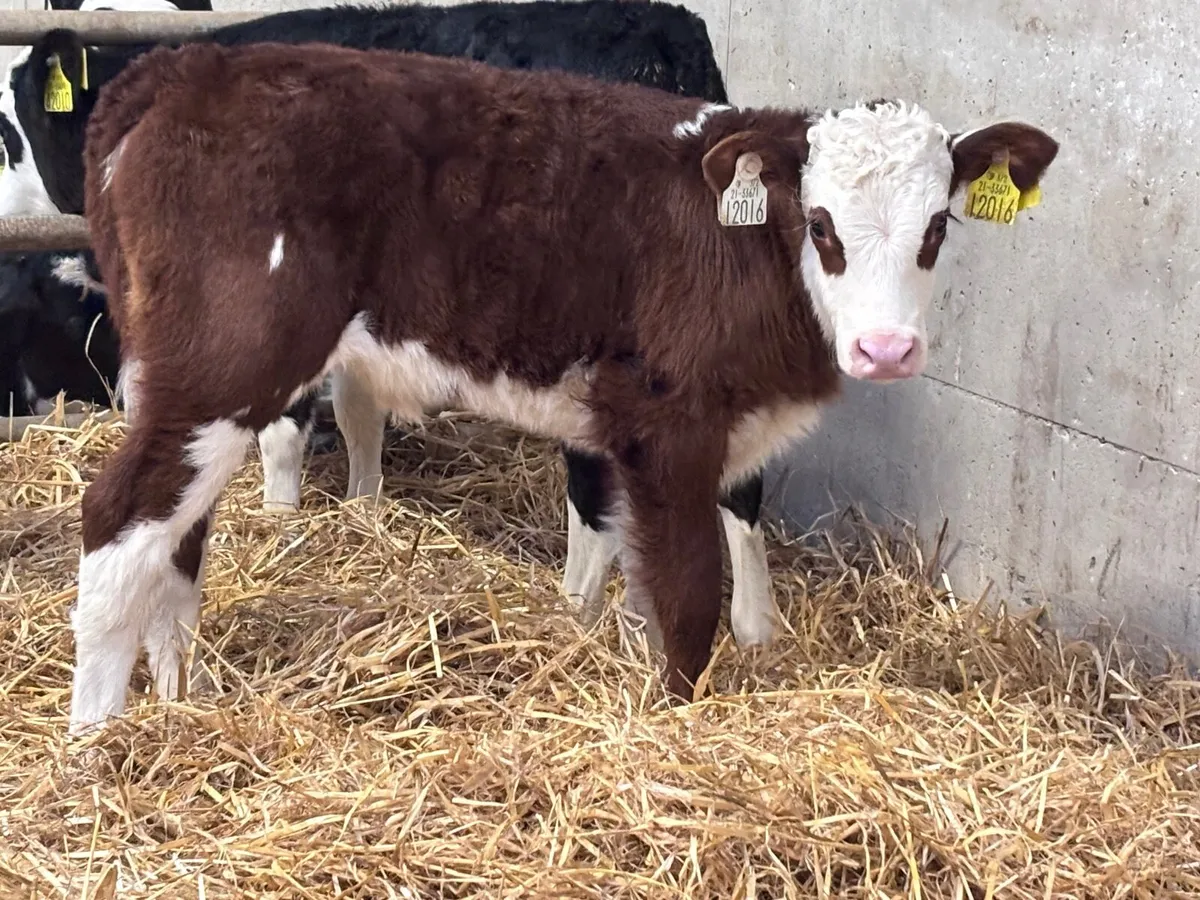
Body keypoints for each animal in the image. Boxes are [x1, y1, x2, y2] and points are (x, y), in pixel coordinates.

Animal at [0, 0, 782, 646]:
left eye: (12, 129)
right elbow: (357, 408)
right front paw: (363, 506)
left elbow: (286, 432)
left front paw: (282, 523)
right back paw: (753, 629)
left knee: (596, 482)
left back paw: (577, 610)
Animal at [65, 40, 1059, 733]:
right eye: (820, 225)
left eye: (937, 227)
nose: (887, 349)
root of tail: (184, 65)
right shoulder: (665, 420)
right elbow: (686, 595)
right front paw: (678, 725)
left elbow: (627, 557)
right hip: (231, 362)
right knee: (119, 515)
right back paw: (100, 746)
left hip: (184, 375)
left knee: (178, 533)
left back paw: (180, 701)